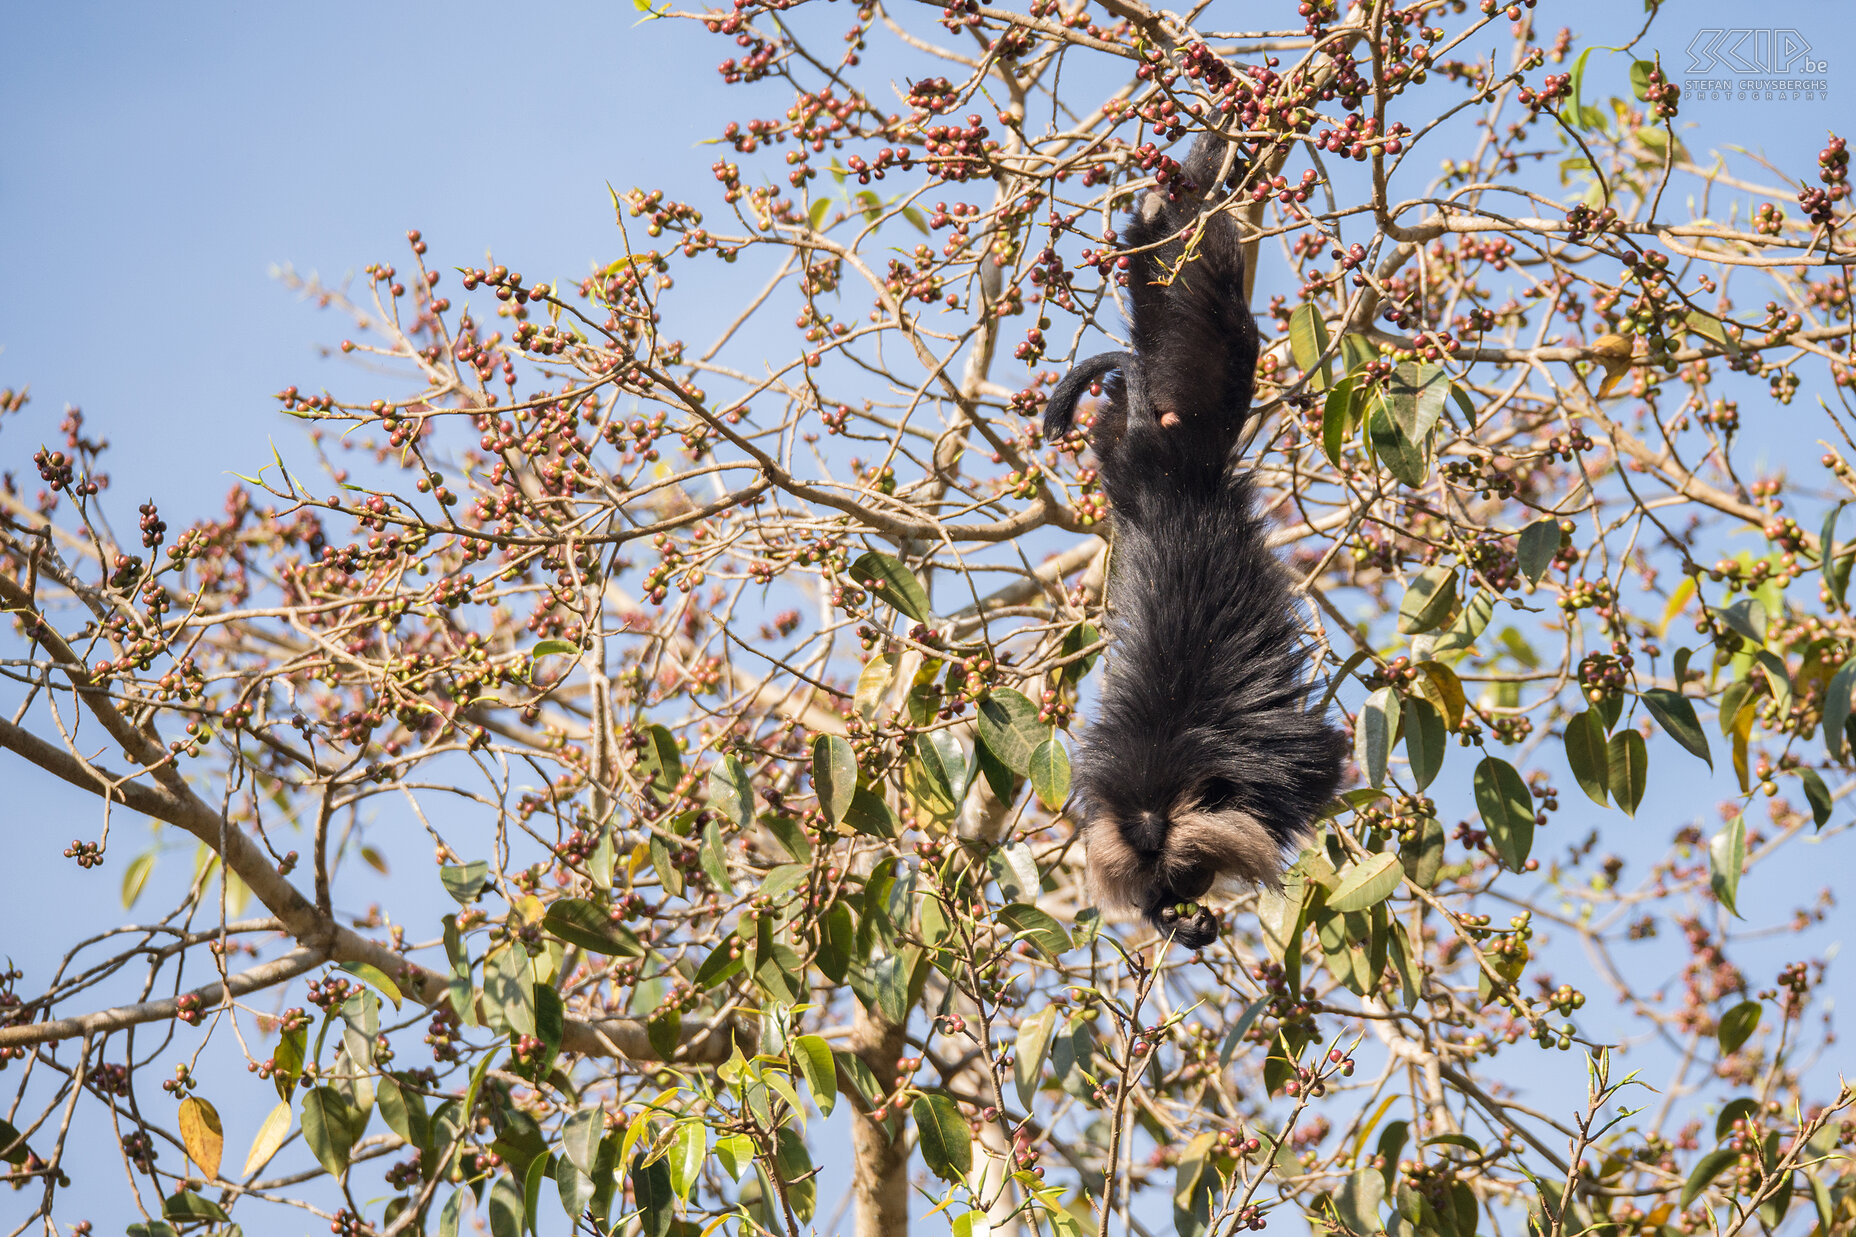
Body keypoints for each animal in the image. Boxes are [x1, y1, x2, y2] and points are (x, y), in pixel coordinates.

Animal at [1046, 132, 1351, 943]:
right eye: (1178, 879)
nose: (1184, 892)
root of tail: (1164, 467)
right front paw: (1173, 922)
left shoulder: (1271, 760)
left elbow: (1325, 760)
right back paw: (1178, 198)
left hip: (1184, 399)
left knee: (1214, 316)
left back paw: (1186, 188)